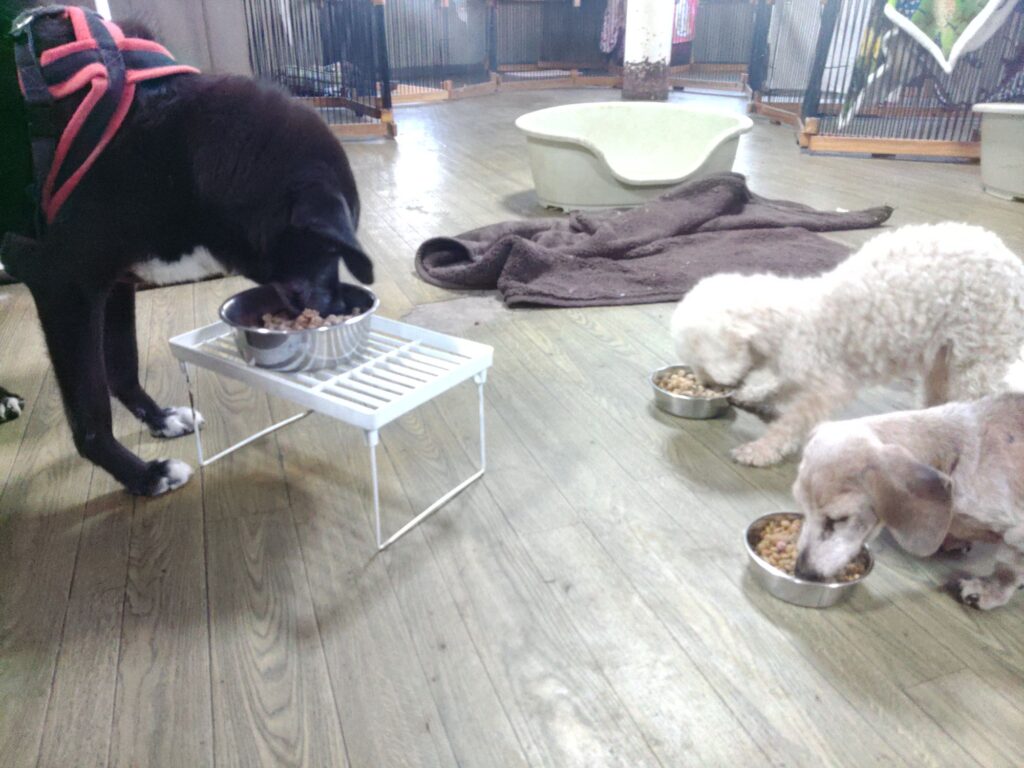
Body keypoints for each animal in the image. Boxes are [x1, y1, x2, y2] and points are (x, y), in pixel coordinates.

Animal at [1, 7, 373, 496]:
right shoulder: (64, 287)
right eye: (329, 247)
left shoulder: (116, 280)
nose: (335, 307)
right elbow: (91, 413)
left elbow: (123, 366)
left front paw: (159, 419)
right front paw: (142, 475)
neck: (175, 150)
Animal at [671, 222, 1024, 467]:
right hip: (941, 354)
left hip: (976, 356)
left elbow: (792, 421)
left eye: (703, 368)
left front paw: (762, 449)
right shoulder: (799, 370)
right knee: (937, 394)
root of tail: (1012, 261)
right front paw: (753, 394)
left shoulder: (828, 384)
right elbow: (778, 386)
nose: (706, 386)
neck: (789, 320)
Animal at [791, 393, 1024, 610]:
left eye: (839, 519)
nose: (802, 572)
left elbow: (1006, 570)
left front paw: (988, 591)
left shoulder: (1016, 536)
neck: (956, 455)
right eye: (802, 509)